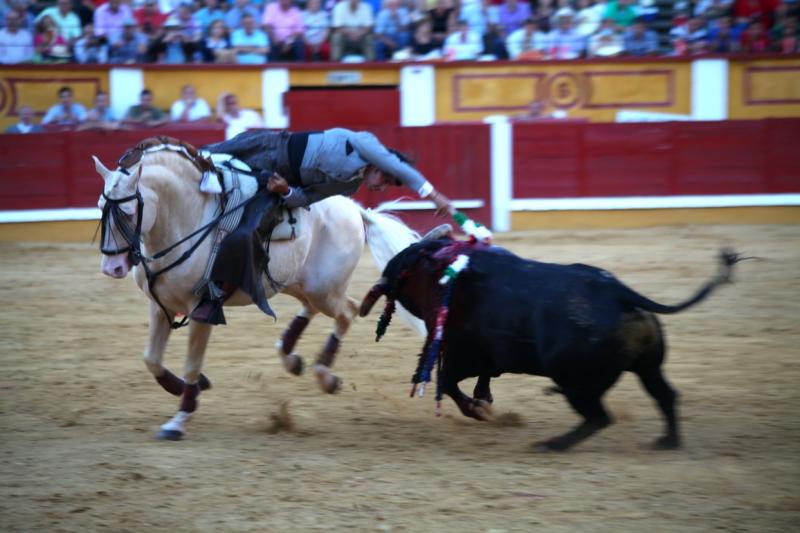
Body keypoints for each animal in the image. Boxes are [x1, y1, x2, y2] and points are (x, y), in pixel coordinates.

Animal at [94, 138, 422, 440]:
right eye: (100, 208)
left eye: (127, 211)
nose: (112, 268)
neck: (187, 218)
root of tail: (356, 209)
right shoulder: (159, 304)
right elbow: (151, 358)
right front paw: (194, 388)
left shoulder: (202, 309)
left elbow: (191, 364)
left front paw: (178, 421)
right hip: (291, 282)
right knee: (317, 308)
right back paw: (291, 357)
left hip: (323, 288)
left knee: (347, 312)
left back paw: (324, 375)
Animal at [358, 239, 744, 450]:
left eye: (403, 266)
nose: (382, 279)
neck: (447, 277)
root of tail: (618, 292)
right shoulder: (486, 361)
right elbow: (475, 381)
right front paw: (484, 402)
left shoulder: (463, 356)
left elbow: (447, 382)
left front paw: (479, 410)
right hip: (648, 366)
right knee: (665, 395)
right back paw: (668, 442)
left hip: (572, 378)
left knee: (598, 416)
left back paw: (553, 444)